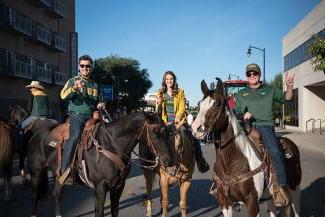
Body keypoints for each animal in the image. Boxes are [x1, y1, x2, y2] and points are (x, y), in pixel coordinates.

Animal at [28, 111, 173, 216]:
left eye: (167, 132)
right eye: (154, 132)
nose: (168, 161)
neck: (111, 145)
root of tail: (37, 134)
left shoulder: (118, 187)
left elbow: (114, 211)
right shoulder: (100, 188)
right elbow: (100, 213)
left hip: (59, 177)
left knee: (57, 196)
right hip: (36, 174)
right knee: (34, 196)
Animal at [190, 79, 302, 217]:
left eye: (216, 104)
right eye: (199, 105)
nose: (195, 128)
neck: (231, 163)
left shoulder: (252, 202)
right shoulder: (224, 202)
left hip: (295, 187)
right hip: (271, 195)